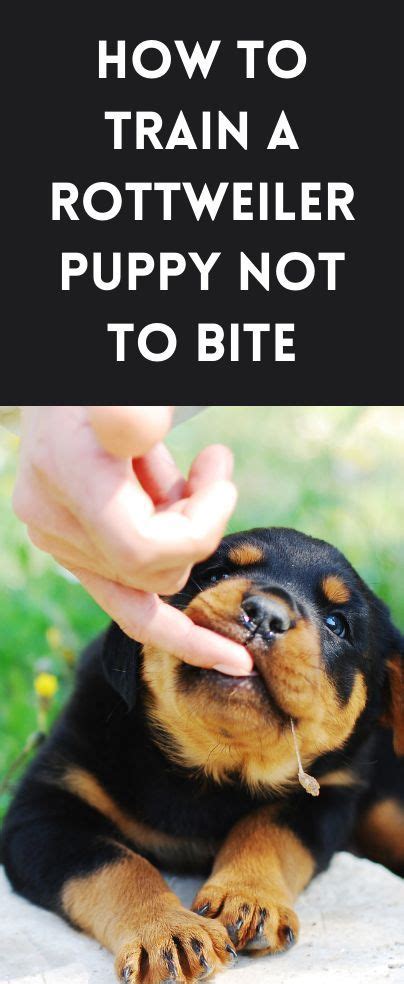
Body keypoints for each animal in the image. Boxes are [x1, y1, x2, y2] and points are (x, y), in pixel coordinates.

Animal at [1, 532, 402, 984]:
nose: (265, 615)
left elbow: (269, 830)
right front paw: (167, 931)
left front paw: (247, 897)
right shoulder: (43, 812)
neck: (211, 765)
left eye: (337, 624)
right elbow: (116, 865)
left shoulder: (327, 798)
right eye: (216, 575)